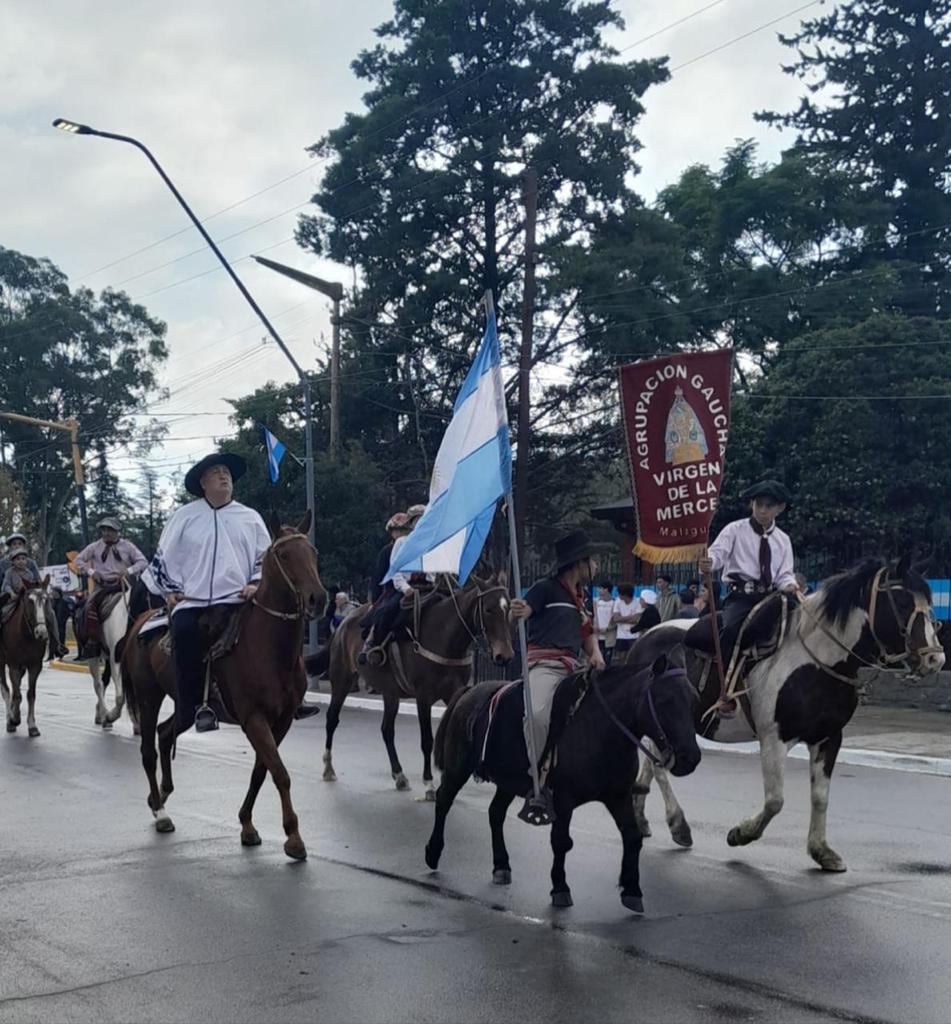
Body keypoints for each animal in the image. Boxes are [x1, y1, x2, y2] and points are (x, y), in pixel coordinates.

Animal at [0, 577, 50, 737]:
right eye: (30, 601)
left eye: (47, 600)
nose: (41, 632)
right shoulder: (14, 666)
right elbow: (16, 694)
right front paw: (13, 719)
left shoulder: (35, 666)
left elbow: (30, 694)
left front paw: (32, 725)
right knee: (6, 689)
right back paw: (10, 719)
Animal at [122, 512, 327, 856]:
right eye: (284, 555)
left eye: (312, 553)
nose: (319, 599)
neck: (269, 648)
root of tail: (140, 620)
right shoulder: (253, 718)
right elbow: (280, 773)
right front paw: (293, 837)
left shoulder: (282, 720)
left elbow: (262, 771)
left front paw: (247, 824)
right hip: (149, 696)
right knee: (148, 748)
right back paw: (161, 813)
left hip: (186, 707)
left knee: (165, 734)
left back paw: (161, 795)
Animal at [317, 573, 511, 794]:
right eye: (488, 609)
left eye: (508, 608)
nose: (504, 655)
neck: (444, 636)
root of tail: (343, 624)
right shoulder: (423, 697)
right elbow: (427, 740)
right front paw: (429, 784)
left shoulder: (454, 692)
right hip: (342, 679)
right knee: (332, 719)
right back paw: (328, 768)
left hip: (390, 693)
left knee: (387, 730)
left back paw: (399, 775)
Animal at [423, 659, 696, 917]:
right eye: (665, 700)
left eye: (693, 698)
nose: (690, 758)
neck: (602, 729)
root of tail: (471, 690)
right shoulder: (564, 800)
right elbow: (561, 841)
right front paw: (560, 888)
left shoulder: (618, 796)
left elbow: (632, 837)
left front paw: (632, 890)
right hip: (457, 770)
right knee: (444, 801)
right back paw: (433, 852)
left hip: (507, 782)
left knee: (495, 813)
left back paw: (501, 865)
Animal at [630, 557, 941, 876]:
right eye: (902, 602)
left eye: (928, 604)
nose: (935, 658)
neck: (818, 663)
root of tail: (647, 637)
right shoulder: (774, 738)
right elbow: (775, 801)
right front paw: (740, 833)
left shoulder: (829, 738)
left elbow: (820, 797)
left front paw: (822, 851)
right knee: (659, 767)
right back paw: (678, 824)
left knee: (652, 762)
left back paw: (643, 819)